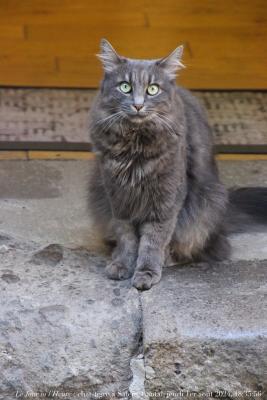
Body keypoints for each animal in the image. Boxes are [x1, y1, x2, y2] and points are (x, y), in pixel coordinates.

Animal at [89, 39, 267, 290]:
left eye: (152, 89)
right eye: (125, 87)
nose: (138, 105)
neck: (136, 145)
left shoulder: (165, 200)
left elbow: (153, 241)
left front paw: (146, 272)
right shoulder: (118, 197)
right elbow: (127, 237)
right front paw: (123, 264)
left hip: (207, 204)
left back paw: (168, 259)